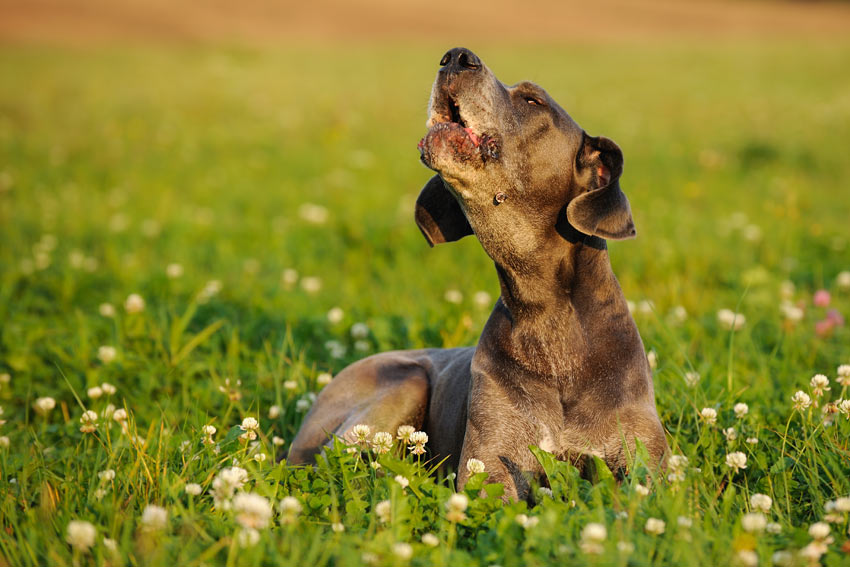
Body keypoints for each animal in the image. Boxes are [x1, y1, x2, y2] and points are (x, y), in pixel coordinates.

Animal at [288, 48, 664, 502]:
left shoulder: (646, 466)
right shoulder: (489, 466)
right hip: (402, 382)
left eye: (533, 101)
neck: (546, 312)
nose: (456, 57)